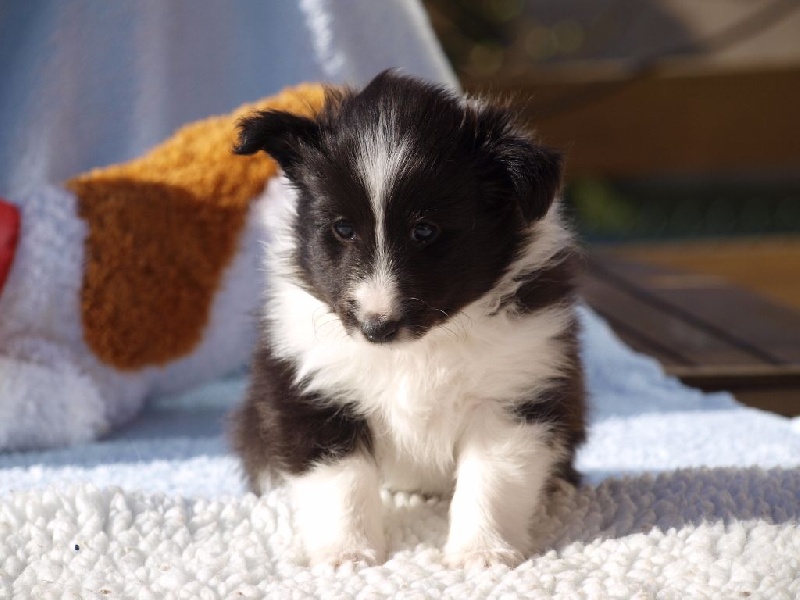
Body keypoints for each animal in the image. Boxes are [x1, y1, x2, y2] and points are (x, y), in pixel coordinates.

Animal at [231, 70, 585, 569]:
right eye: (342, 228)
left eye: (424, 230)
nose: (376, 327)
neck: (418, 349)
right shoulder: (312, 388)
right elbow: (340, 481)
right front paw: (346, 553)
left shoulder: (515, 389)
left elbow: (492, 480)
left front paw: (483, 553)